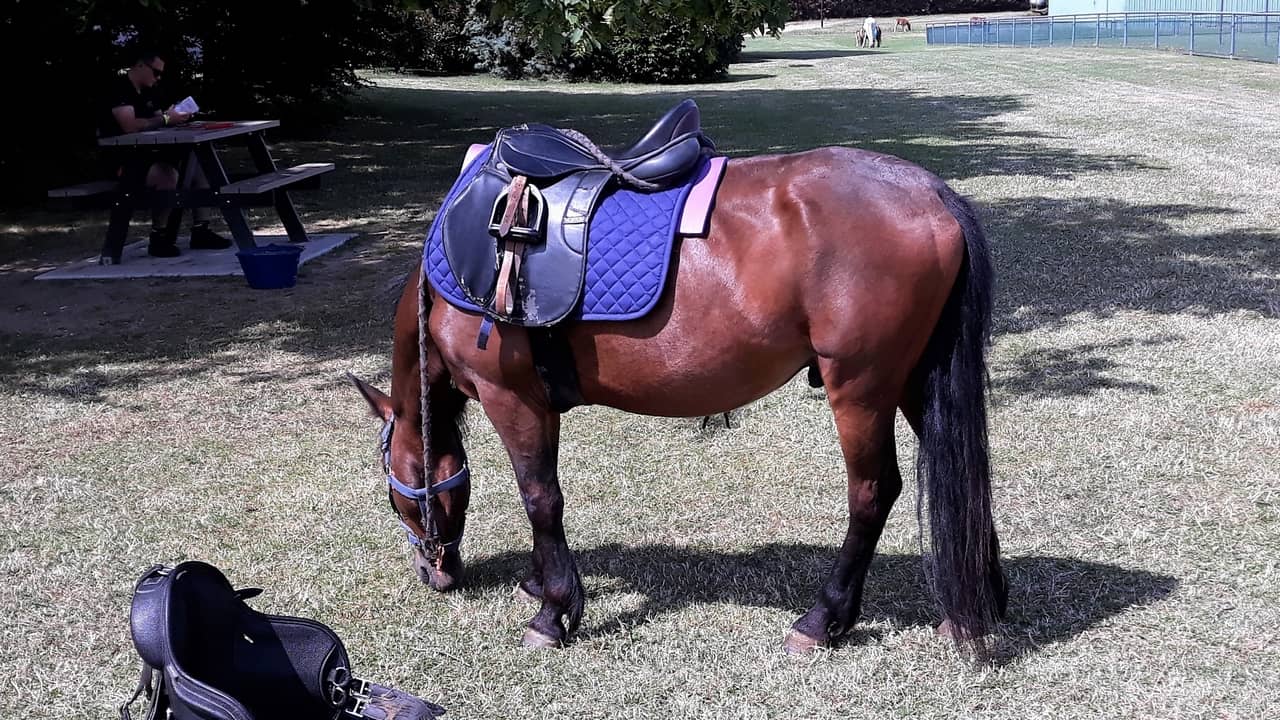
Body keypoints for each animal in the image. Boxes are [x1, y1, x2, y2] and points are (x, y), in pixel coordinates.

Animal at [350, 122, 1008, 655]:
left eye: (394, 492)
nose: (435, 573)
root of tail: (931, 192)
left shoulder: (510, 397)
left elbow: (540, 497)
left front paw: (553, 609)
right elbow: (540, 497)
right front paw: (538, 583)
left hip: (861, 388)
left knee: (873, 491)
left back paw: (823, 619)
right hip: (914, 382)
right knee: (960, 471)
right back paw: (979, 606)